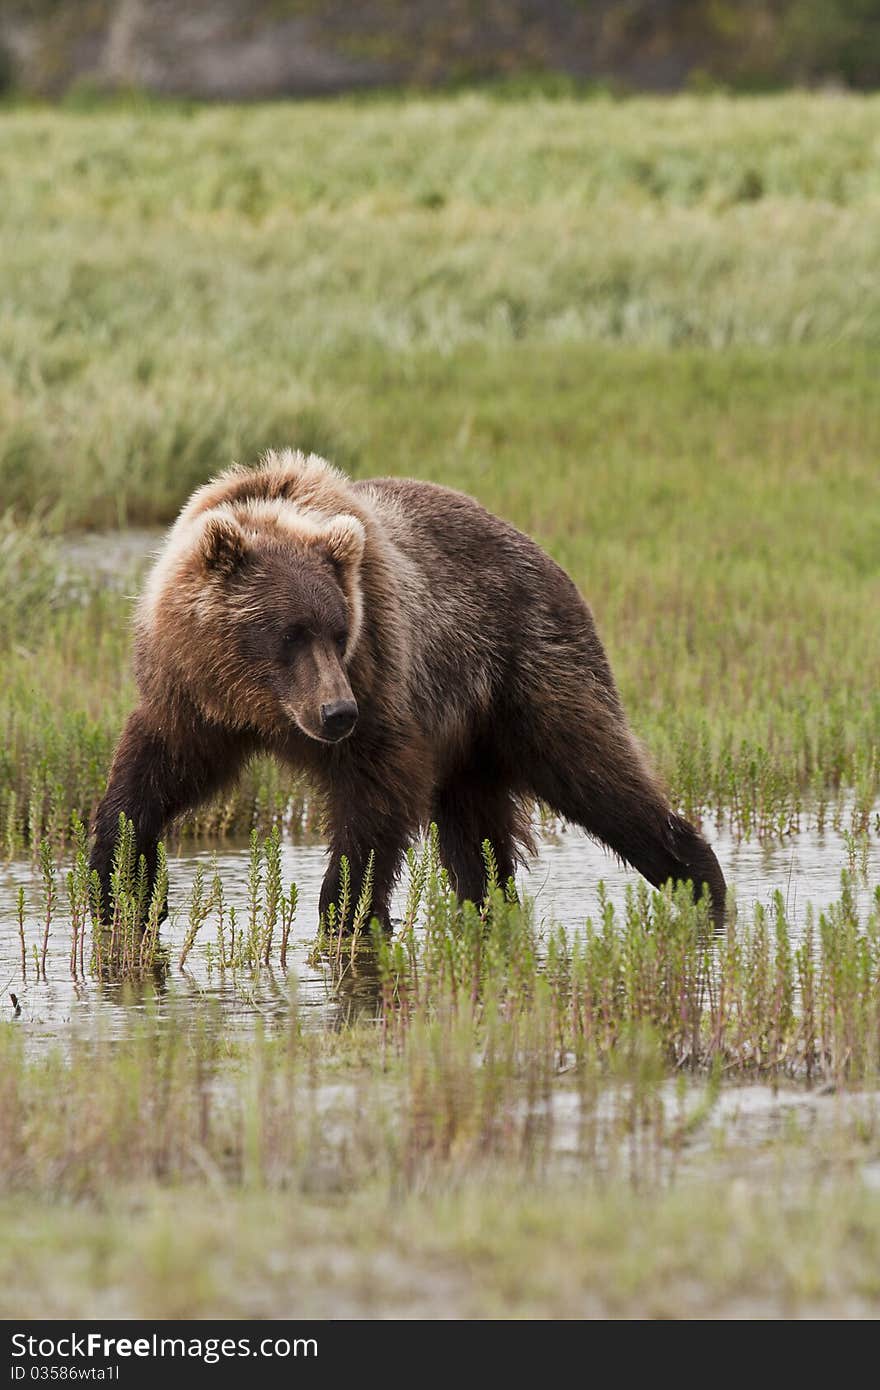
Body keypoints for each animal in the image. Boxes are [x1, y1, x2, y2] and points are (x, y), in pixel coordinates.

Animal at [88, 450, 722, 934]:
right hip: (470, 735)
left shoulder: (380, 682)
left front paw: (344, 910)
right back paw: (489, 904)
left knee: (594, 772)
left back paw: (701, 882)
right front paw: (117, 886)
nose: (337, 712)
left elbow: (375, 802)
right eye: (290, 633)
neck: (260, 707)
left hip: (526, 670)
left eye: (339, 630)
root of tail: (546, 556)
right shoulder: (192, 699)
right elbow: (151, 777)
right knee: (477, 830)